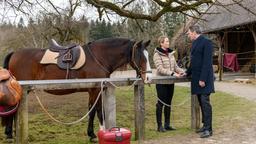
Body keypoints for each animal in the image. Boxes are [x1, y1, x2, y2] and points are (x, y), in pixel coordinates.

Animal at [0, 37, 152, 141]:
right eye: (140, 56)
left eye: (148, 55)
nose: (149, 78)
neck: (99, 57)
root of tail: (14, 53)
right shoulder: (96, 89)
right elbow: (98, 110)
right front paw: (99, 132)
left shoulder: (93, 90)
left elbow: (91, 111)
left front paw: (91, 134)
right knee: (13, 110)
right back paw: (10, 135)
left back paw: (10, 133)